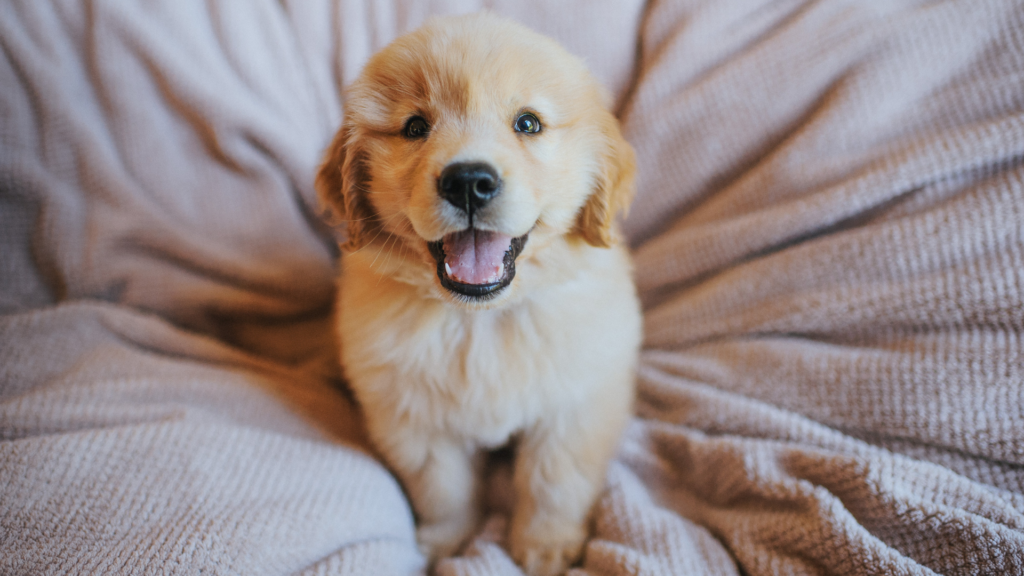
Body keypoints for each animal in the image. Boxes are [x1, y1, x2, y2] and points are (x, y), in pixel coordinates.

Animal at [317, 13, 638, 573]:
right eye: (415, 127)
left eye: (528, 124)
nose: (468, 181)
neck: (480, 318)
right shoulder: (413, 420)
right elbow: (444, 489)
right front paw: (448, 543)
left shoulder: (576, 406)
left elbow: (554, 480)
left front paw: (546, 547)